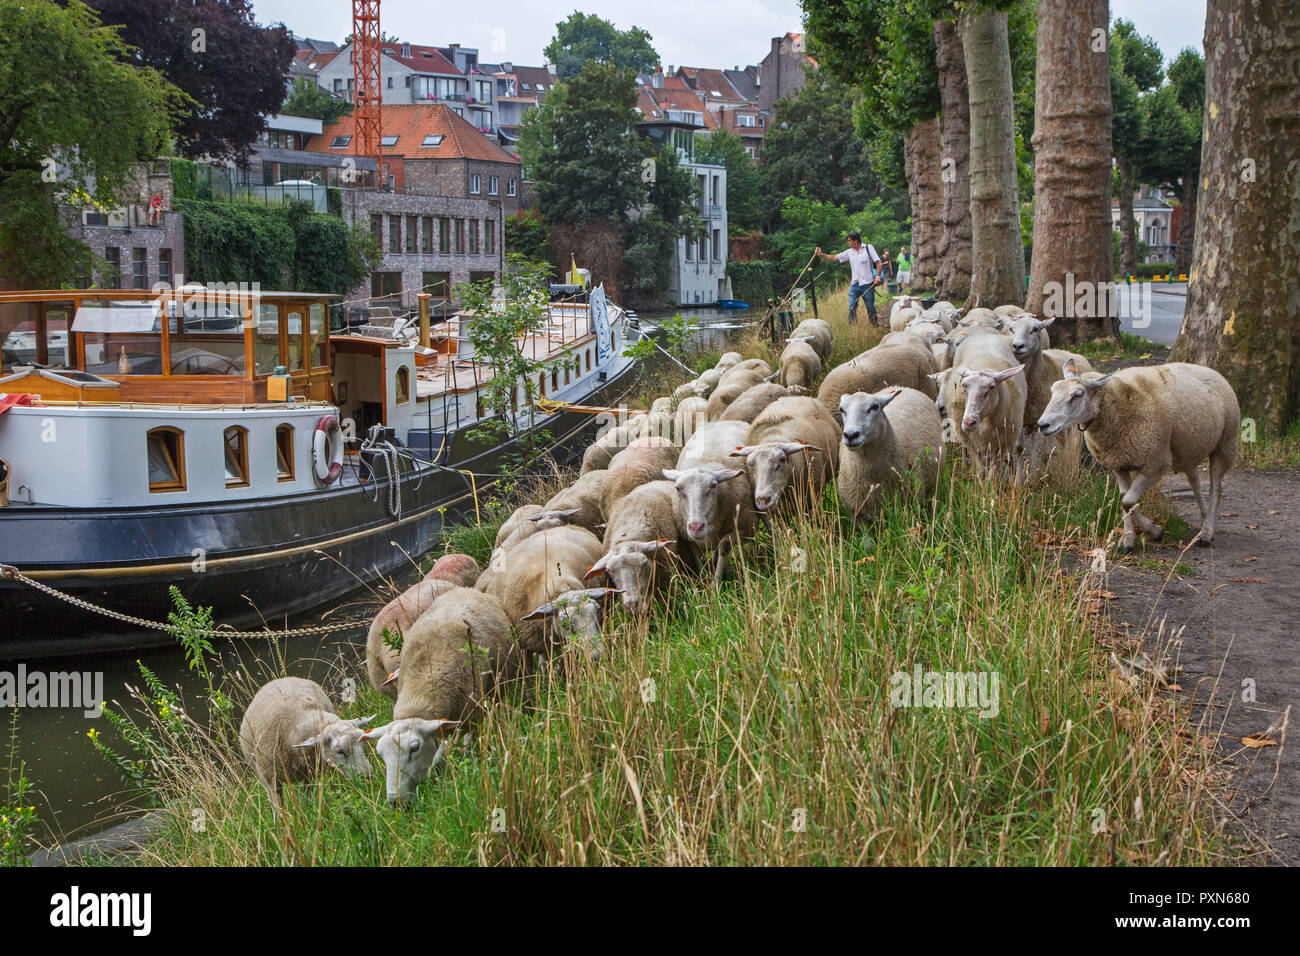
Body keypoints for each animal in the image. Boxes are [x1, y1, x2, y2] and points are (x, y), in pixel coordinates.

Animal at [238, 677, 374, 801]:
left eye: (362, 744)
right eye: (340, 751)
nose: (369, 776)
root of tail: (282, 679)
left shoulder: (310, 774)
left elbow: (307, 797)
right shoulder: (269, 780)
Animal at [362, 586, 521, 805]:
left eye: (414, 749)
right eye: (381, 754)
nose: (395, 802)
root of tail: (465, 589)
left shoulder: (472, 714)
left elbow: (450, 751)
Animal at [1038, 361, 1240, 551]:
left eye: (1077, 395)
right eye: (1052, 391)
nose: (1042, 425)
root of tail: (1208, 370)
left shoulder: (1155, 464)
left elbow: (1128, 501)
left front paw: (1154, 531)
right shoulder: (1118, 464)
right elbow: (1123, 500)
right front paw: (1128, 540)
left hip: (1225, 444)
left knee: (1215, 489)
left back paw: (1206, 532)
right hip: (1187, 449)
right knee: (1195, 481)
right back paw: (1204, 517)